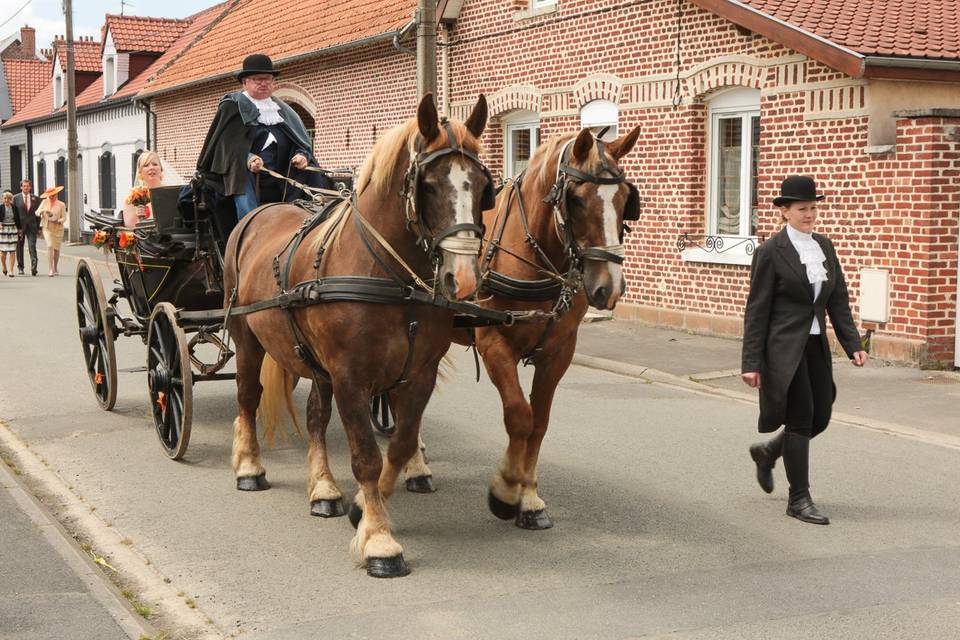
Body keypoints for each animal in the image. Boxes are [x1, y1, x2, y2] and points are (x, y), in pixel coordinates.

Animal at [225, 95, 492, 580]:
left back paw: (324, 489)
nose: (462, 280)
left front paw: (363, 510)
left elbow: (400, 445)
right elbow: (367, 456)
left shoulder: (418, 374)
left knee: (314, 416)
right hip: (247, 337)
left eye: (483, 186)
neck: (391, 278)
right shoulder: (351, 376)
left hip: (315, 362)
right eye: (428, 186)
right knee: (248, 398)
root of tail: (260, 212)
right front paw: (380, 542)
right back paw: (250, 467)